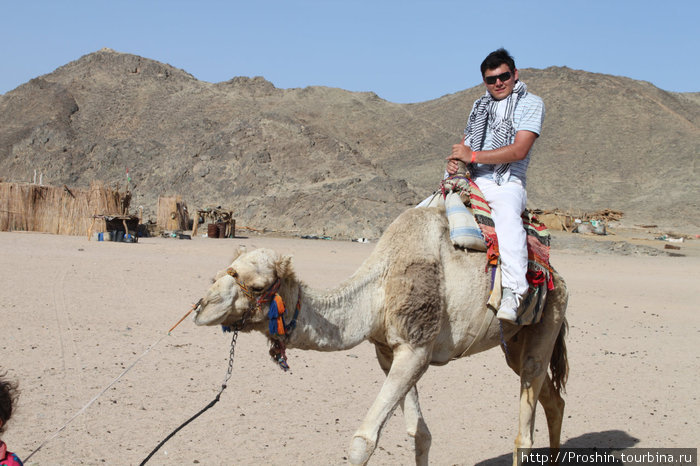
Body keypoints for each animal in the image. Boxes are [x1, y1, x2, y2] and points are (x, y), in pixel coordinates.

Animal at [193, 208, 568, 466]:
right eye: (217, 276)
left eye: (257, 286)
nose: (201, 308)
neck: (378, 290)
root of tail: (556, 273)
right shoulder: (389, 352)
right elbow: (420, 434)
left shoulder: (416, 347)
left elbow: (363, 441)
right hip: (514, 342)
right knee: (553, 398)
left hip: (549, 314)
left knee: (526, 423)